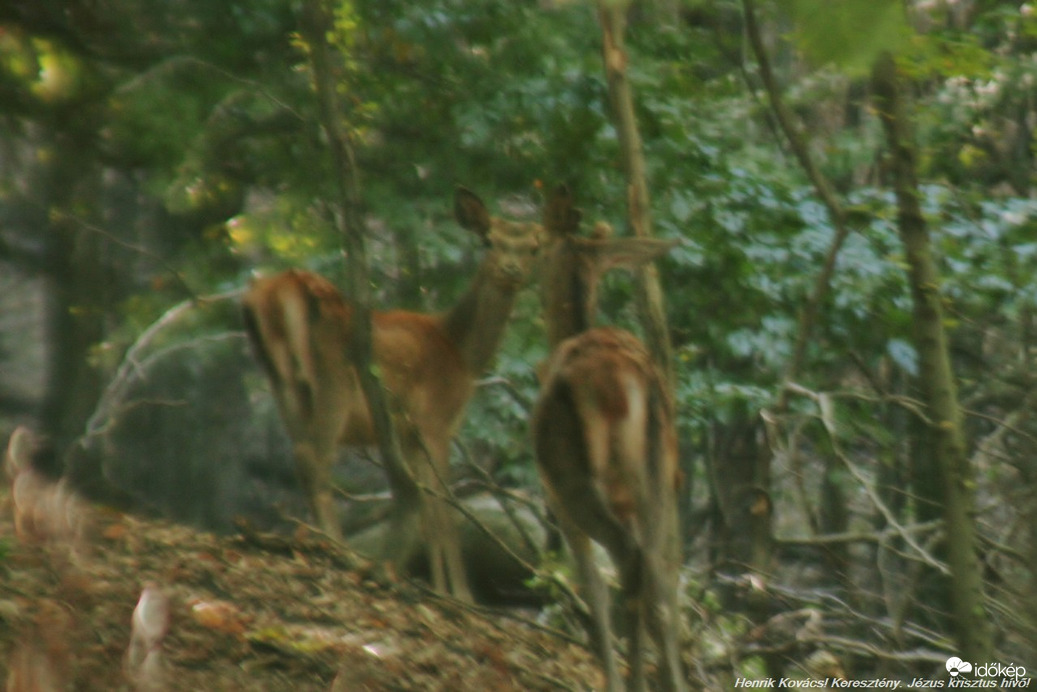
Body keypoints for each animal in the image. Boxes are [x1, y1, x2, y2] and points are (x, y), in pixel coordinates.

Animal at [241, 187, 543, 601]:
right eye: (489, 240)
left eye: (532, 248)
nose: (511, 270)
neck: (461, 353)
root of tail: (278, 289)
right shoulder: (435, 421)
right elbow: (443, 510)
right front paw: (459, 595)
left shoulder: (409, 435)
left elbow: (426, 509)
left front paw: (440, 587)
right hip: (333, 380)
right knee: (313, 459)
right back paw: (336, 548)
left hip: (283, 382)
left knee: (301, 454)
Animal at [530, 185, 684, 692]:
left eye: (538, 246)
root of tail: (621, 381)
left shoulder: (554, 497)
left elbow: (590, 585)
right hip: (657, 475)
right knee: (656, 573)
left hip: (574, 472)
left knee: (627, 563)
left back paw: (626, 680)